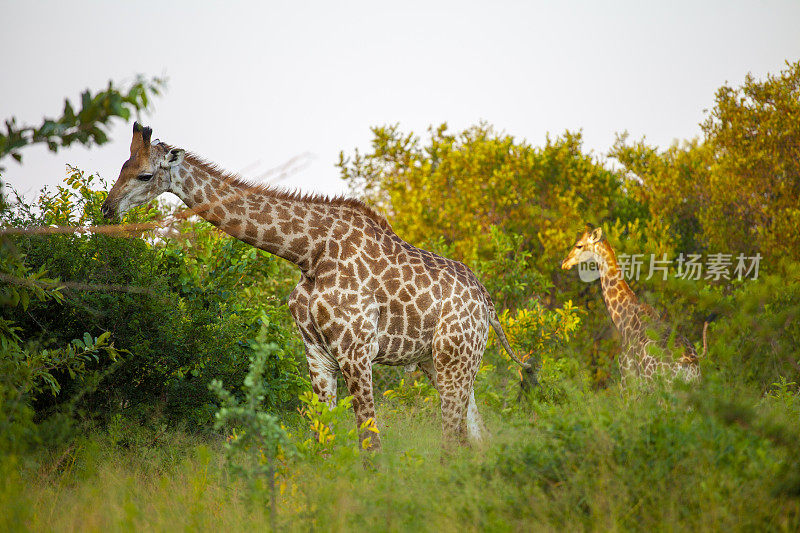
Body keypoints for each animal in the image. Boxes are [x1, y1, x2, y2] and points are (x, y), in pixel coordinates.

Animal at [100, 122, 528, 446]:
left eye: (145, 174)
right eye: (122, 166)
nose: (107, 208)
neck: (308, 253)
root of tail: (487, 303)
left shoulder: (356, 351)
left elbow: (369, 441)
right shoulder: (318, 354)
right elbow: (325, 438)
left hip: (455, 356)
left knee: (453, 438)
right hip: (437, 361)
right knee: (478, 434)